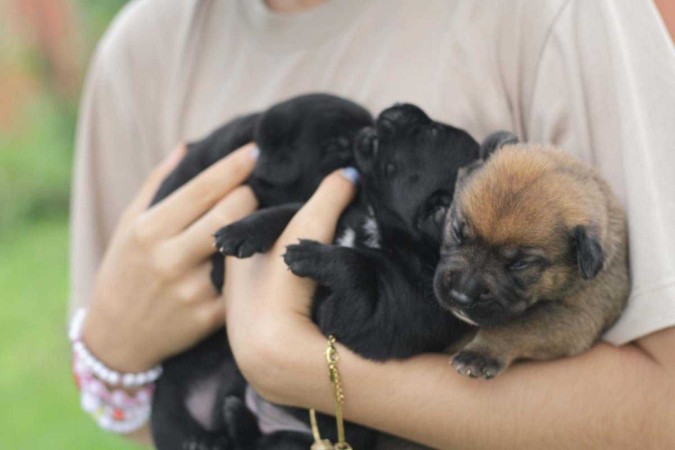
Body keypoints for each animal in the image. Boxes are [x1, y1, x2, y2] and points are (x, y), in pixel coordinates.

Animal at [149, 93, 374, 448]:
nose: (374, 136)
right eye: (337, 144)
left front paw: (240, 233)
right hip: (167, 402)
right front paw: (232, 245)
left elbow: (285, 210)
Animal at [436, 134, 632, 380]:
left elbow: (518, 326)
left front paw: (479, 353)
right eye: (456, 232)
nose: (461, 296)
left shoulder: (578, 316)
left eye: (520, 264)